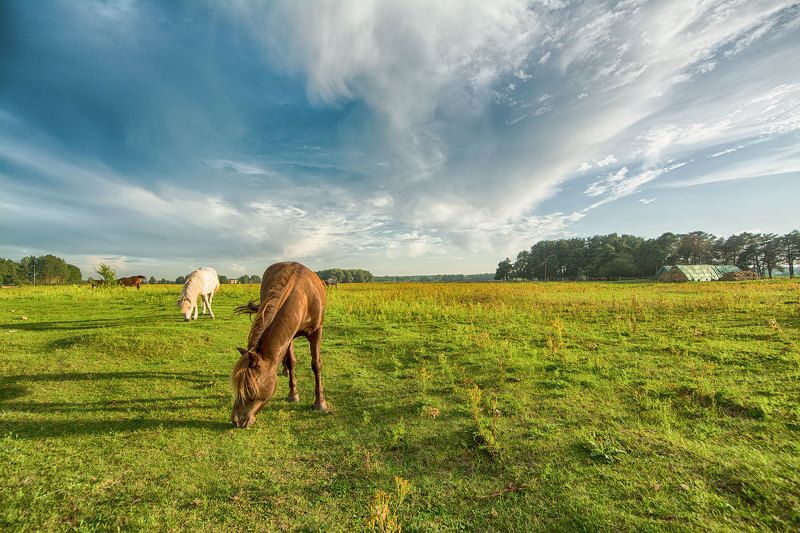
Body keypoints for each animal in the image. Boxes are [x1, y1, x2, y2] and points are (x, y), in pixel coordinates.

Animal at [230, 261, 327, 428]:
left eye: (249, 388)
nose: (236, 420)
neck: (304, 298)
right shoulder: (288, 336)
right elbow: (291, 361)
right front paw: (293, 394)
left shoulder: (316, 331)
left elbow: (316, 364)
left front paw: (320, 403)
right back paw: (285, 370)